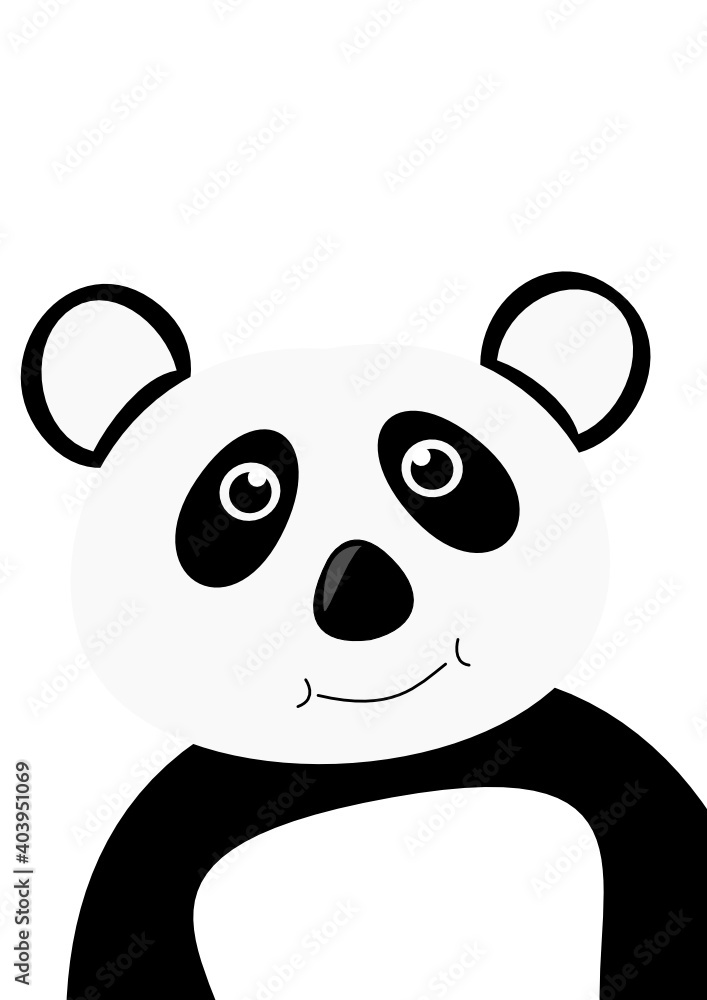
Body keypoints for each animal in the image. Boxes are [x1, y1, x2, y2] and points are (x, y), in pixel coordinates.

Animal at [20, 272, 706, 999]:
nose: (360, 594)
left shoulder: (603, 767)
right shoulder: (162, 836)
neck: (379, 765)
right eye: (248, 489)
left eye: (433, 467)